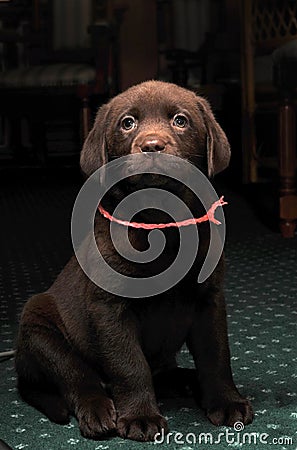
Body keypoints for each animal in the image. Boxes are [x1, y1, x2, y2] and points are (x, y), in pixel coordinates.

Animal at [15, 80, 252, 440]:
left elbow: (216, 354)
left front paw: (227, 401)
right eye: (127, 123)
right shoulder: (110, 307)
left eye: (180, 121)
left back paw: (185, 380)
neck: (161, 222)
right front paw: (140, 416)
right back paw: (98, 410)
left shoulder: (209, 299)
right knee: (77, 376)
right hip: (39, 327)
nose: (152, 145)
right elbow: (129, 364)